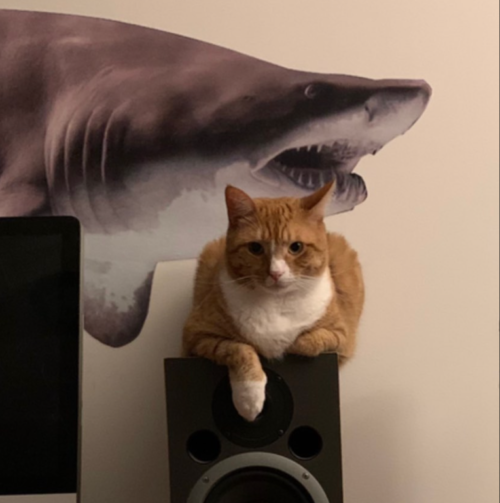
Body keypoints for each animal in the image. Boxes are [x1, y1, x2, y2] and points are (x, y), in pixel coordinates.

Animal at [183, 183, 364, 424]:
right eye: (255, 248)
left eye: (296, 247)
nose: (275, 273)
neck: (276, 303)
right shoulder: (196, 337)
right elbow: (240, 348)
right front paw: (249, 399)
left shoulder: (342, 338)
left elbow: (307, 341)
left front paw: (289, 346)